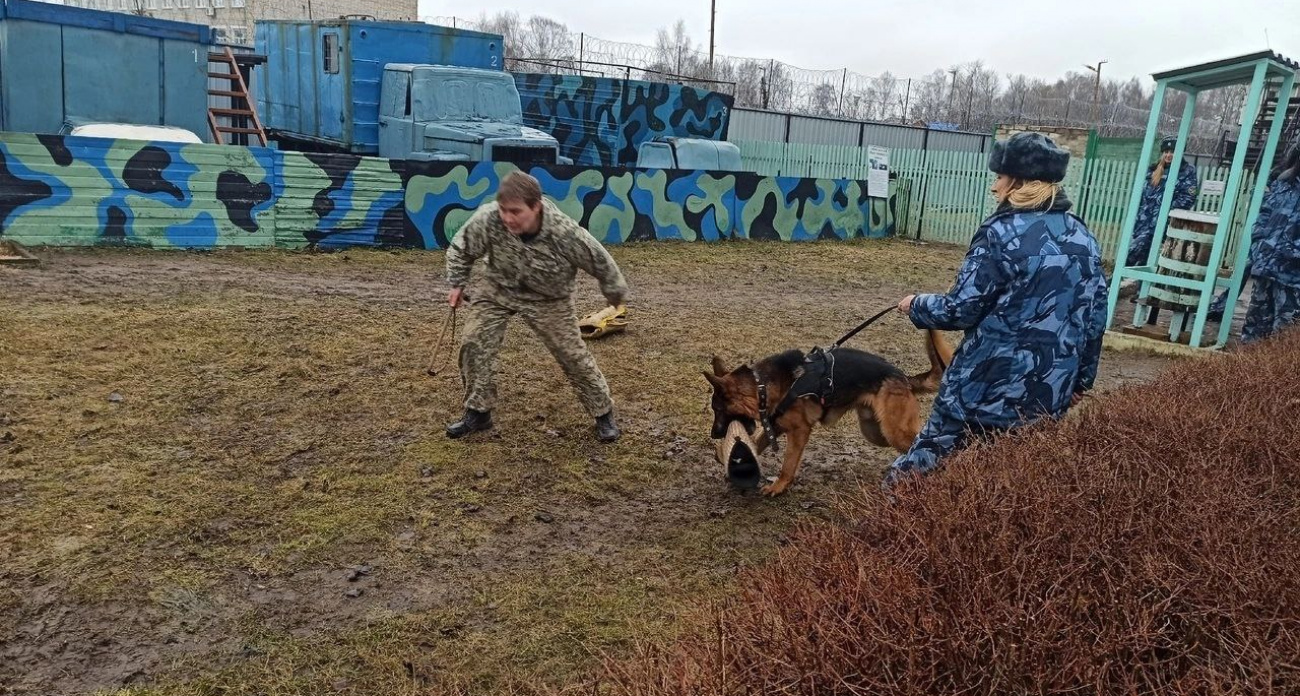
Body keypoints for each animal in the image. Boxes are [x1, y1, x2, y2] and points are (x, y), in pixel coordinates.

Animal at [707, 330, 951, 496]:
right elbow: (756, 444)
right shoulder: (775, 424)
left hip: (893, 431)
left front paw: (778, 486)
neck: (761, 387)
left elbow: (788, 464)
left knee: (924, 441)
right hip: (875, 432)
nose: (713, 434)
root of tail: (903, 377)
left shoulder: (799, 430)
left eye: (717, 409)